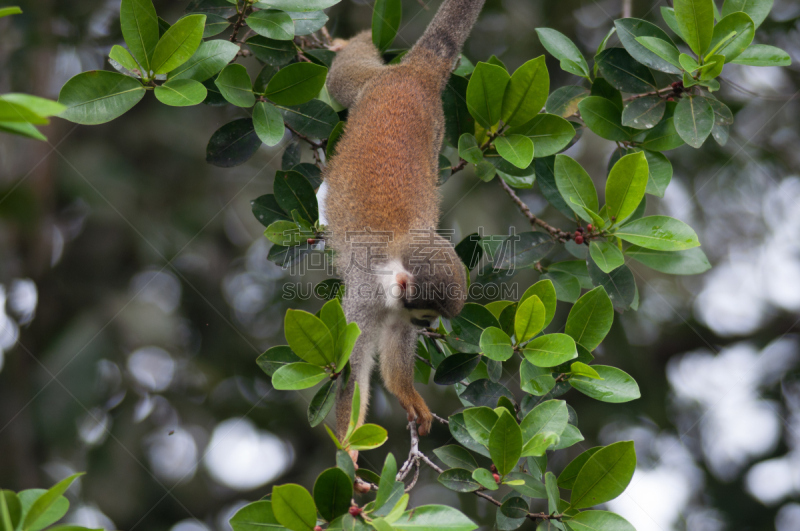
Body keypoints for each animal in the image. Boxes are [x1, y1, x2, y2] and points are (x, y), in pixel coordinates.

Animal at [322, 0, 484, 444]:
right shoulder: (362, 296)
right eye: (426, 317)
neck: (387, 275)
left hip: (437, 128)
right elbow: (352, 371)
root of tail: (415, 75)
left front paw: (406, 392)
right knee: (339, 81)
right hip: (370, 87)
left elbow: (395, 345)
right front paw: (348, 451)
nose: (427, 326)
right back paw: (352, 42)